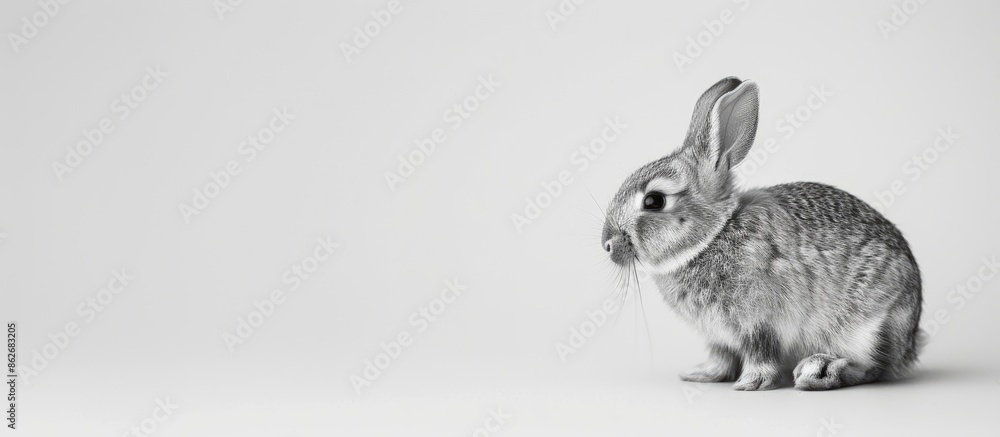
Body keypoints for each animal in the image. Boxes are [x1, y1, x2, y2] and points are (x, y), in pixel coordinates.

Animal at [601, 76, 924, 390]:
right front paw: (702, 374)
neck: (714, 235)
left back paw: (820, 371)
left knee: (872, 368)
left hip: (867, 327)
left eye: (654, 201)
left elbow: (761, 352)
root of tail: (909, 343)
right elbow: (721, 355)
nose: (607, 244)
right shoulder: (719, 336)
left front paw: (751, 383)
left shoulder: (759, 323)